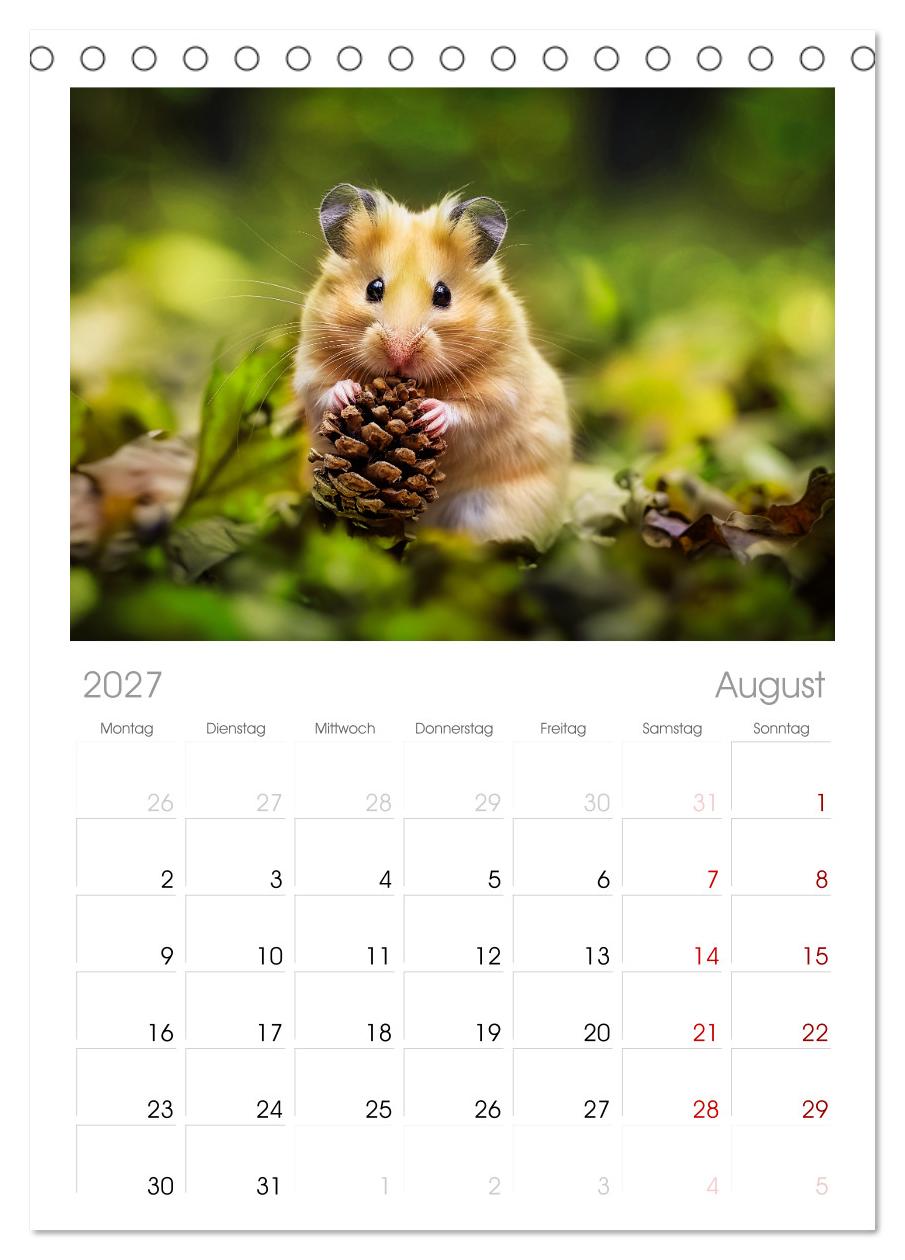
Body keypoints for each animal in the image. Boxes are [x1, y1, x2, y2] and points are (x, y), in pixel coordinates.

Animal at [294, 184, 571, 546]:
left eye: (443, 294)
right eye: (374, 288)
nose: (399, 355)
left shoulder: (503, 387)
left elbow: (473, 412)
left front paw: (430, 413)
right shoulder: (309, 366)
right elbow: (323, 389)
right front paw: (349, 390)